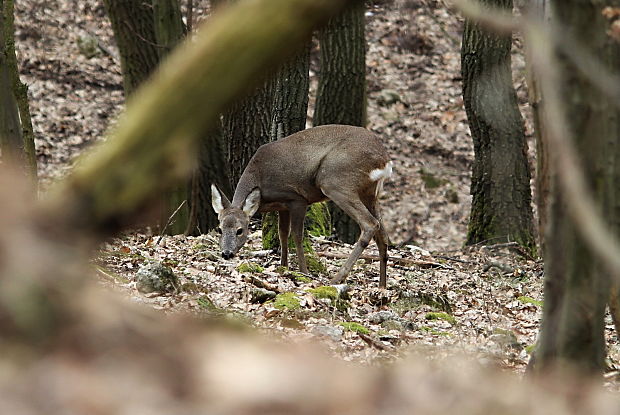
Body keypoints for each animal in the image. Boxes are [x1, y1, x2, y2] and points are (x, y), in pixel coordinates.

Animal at [211, 124, 390, 286]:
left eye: (240, 230)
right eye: (219, 229)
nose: (226, 253)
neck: (259, 176)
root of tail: (385, 161)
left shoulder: (297, 199)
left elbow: (297, 235)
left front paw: (304, 271)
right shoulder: (282, 206)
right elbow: (282, 233)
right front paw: (283, 266)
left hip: (336, 181)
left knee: (370, 223)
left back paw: (336, 279)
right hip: (369, 193)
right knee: (382, 234)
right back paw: (382, 287)